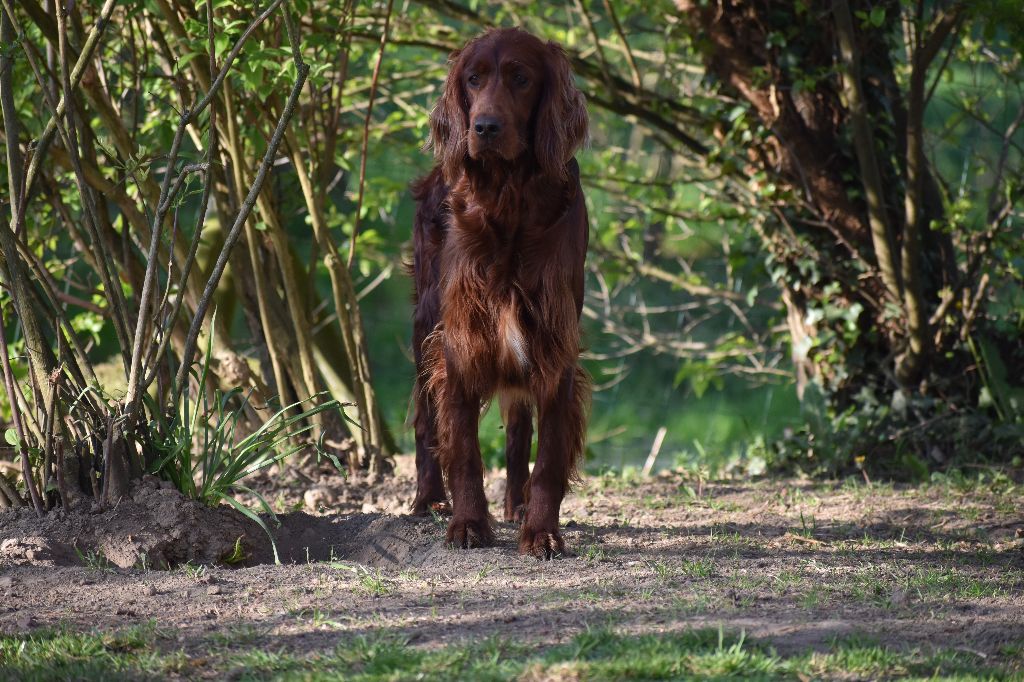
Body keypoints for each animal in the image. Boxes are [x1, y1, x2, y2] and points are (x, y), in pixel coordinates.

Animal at [405, 27, 589, 557]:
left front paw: (542, 531)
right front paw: (468, 524)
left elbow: (548, 456)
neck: (509, 201)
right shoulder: (460, 338)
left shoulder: (554, 341)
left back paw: (518, 504)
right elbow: (463, 447)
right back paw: (428, 499)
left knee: (519, 424)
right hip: (425, 323)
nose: (484, 127)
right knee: (426, 422)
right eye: (473, 79)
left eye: (521, 78)